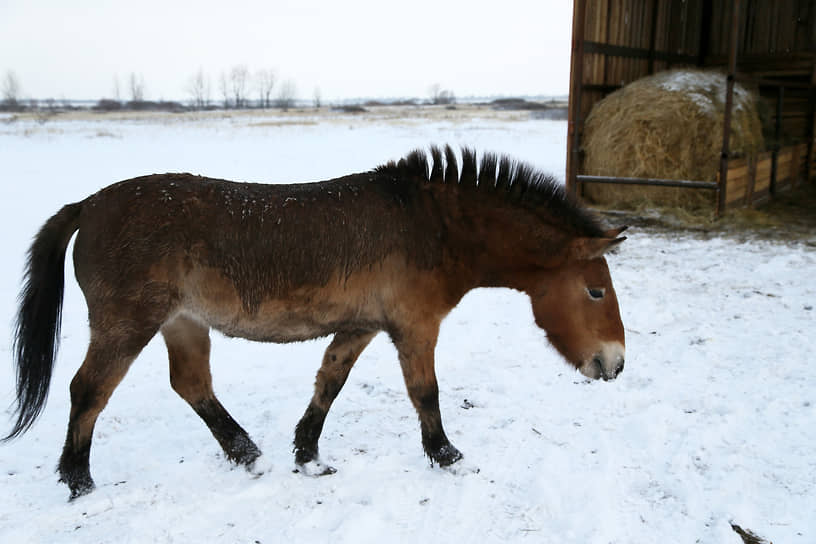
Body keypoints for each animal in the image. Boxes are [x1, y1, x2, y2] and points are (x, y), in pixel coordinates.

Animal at [3, 147, 624, 500]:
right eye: (595, 290)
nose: (615, 363)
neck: (434, 226)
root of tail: (87, 205)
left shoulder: (363, 325)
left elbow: (330, 382)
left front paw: (307, 455)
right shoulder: (415, 327)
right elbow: (425, 392)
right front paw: (447, 456)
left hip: (182, 322)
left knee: (192, 385)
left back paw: (246, 454)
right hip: (127, 325)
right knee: (88, 391)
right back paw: (79, 481)